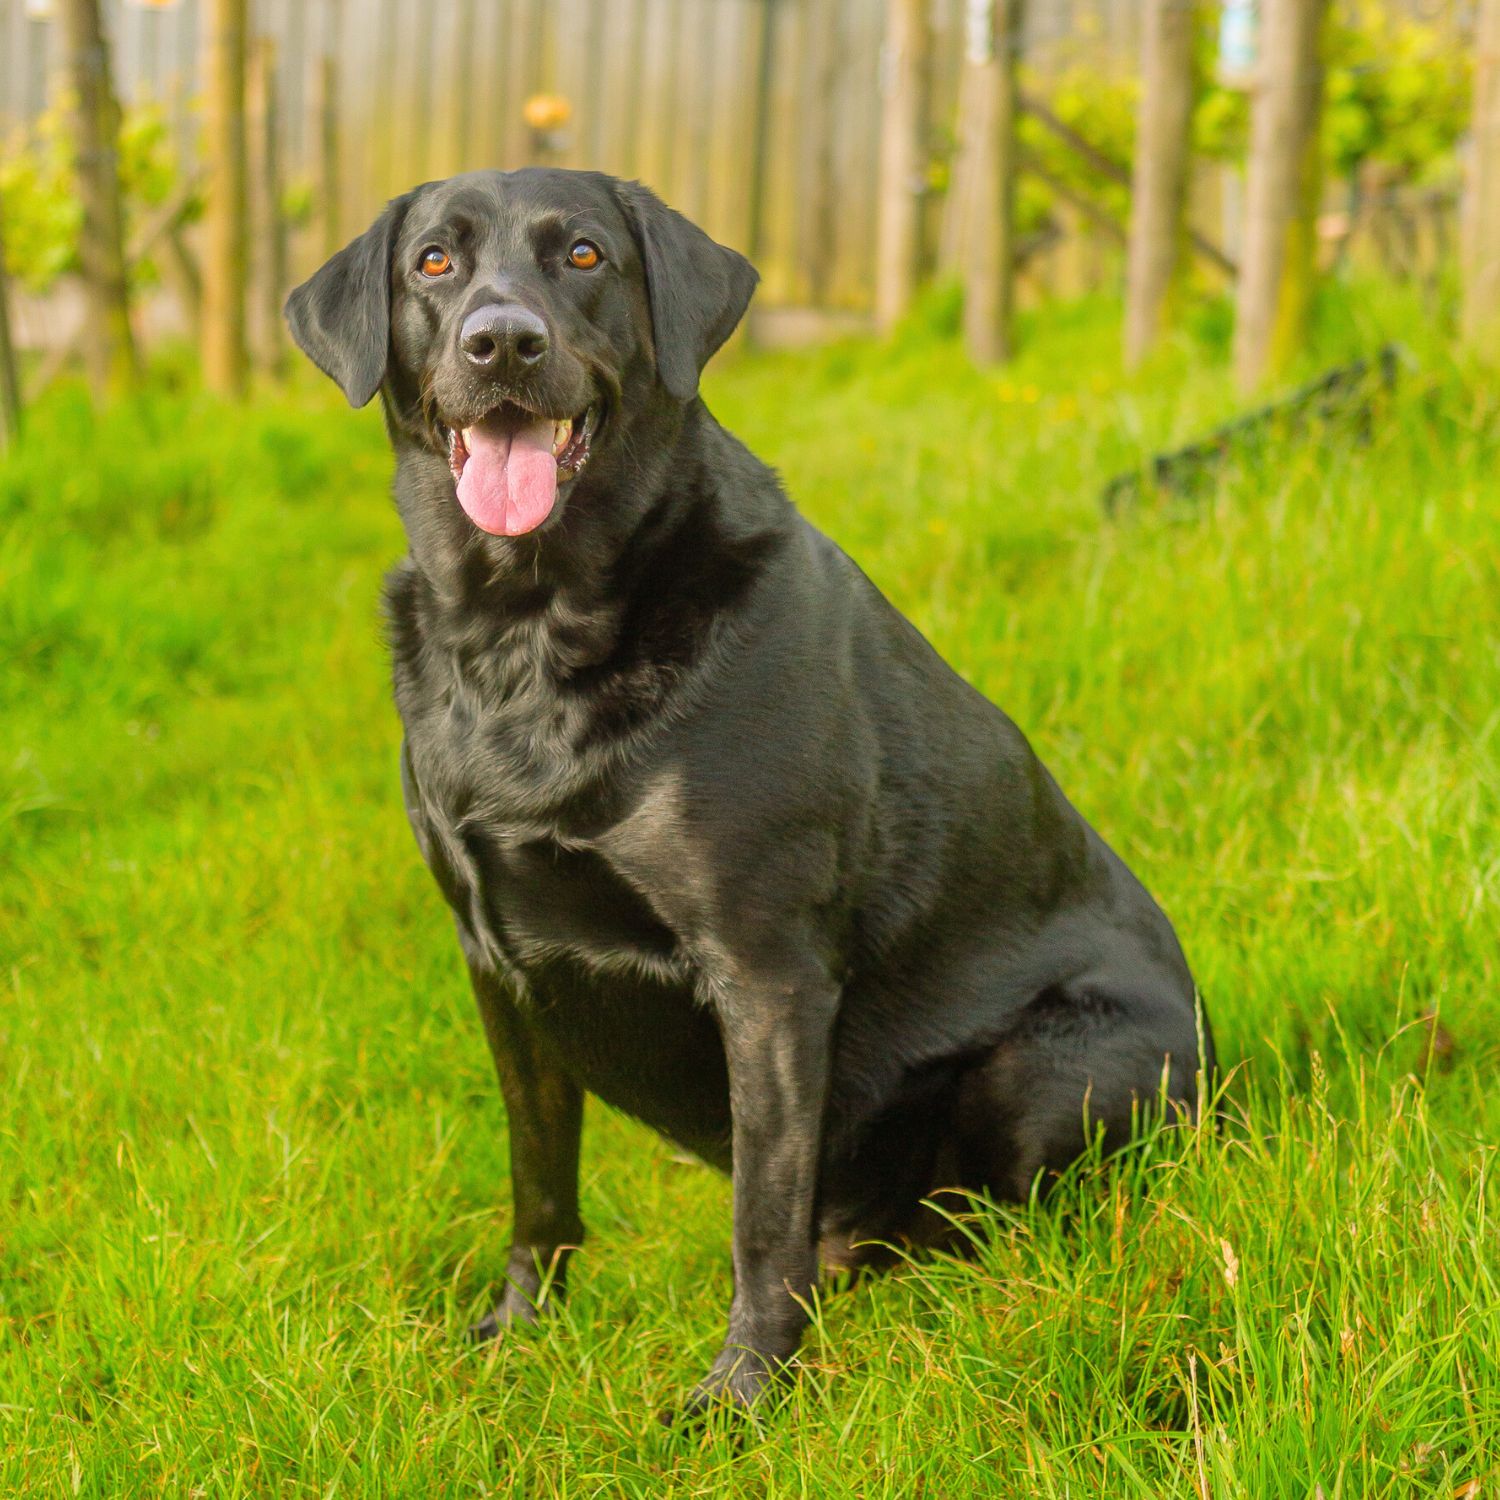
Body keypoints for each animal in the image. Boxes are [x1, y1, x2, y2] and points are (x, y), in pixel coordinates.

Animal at [286, 167, 1212, 1416]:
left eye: (584, 255)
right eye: (434, 261)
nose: (503, 342)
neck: (528, 636)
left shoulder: (766, 973)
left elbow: (762, 1222)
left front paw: (743, 1399)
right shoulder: (496, 963)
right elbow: (539, 1179)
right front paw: (523, 1329)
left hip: (1050, 1067)